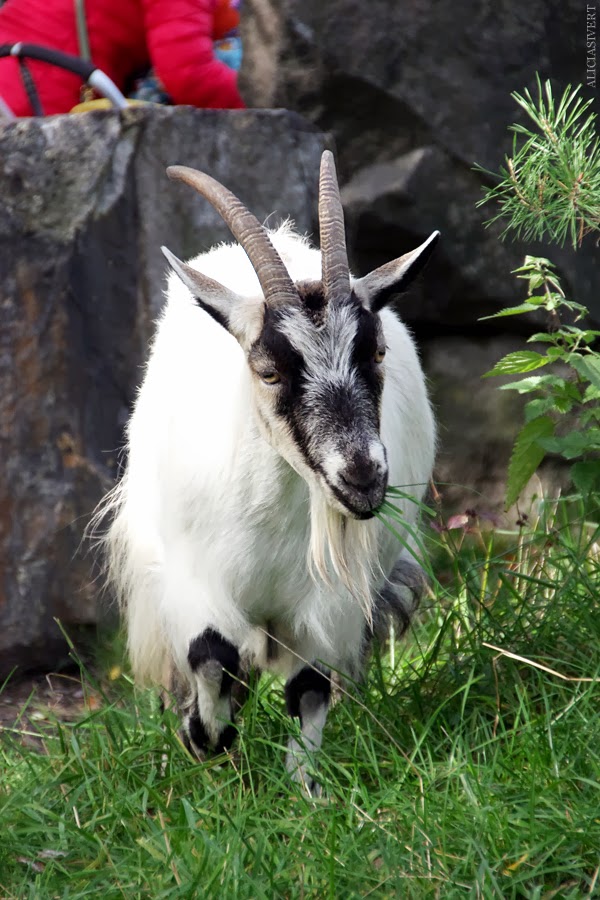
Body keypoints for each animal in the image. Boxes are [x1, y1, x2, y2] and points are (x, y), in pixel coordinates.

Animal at [102, 151, 436, 792]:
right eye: (269, 371)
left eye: (377, 352)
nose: (362, 477)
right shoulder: (196, 581)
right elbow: (213, 656)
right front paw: (203, 737)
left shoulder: (331, 605)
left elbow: (310, 687)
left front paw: (304, 788)